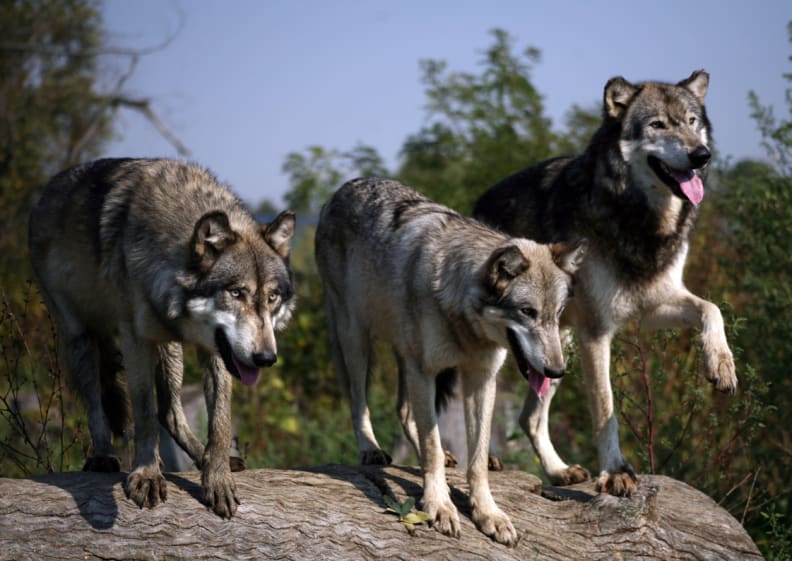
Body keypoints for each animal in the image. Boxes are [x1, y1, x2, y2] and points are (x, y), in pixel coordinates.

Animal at [28, 158, 296, 517]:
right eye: (236, 293)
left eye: (272, 297)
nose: (266, 358)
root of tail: (46, 192)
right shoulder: (135, 339)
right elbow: (143, 413)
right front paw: (147, 476)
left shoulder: (217, 351)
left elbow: (220, 423)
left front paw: (218, 477)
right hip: (81, 337)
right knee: (97, 403)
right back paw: (102, 456)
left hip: (169, 347)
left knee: (170, 412)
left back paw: (205, 458)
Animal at [315, 178, 584, 544]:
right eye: (527, 312)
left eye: (556, 315)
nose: (557, 371)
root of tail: (342, 189)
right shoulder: (425, 371)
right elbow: (430, 446)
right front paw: (440, 506)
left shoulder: (480, 380)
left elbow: (477, 459)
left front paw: (488, 514)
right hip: (358, 341)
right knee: (359, 404)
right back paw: (370, 449)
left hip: (404, 357)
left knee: (404, 411)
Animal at [473, 70, 737, 496]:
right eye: (658, 125)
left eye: (692, 122)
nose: (701, 156)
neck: (641, 221)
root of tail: (479, 204)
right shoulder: (597, 332)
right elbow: (605, 407)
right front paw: (615, 472)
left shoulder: (654, 303)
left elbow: (711, 308)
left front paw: (721, 364)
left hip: (557, 350)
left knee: (530, 417)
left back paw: (558, 471)